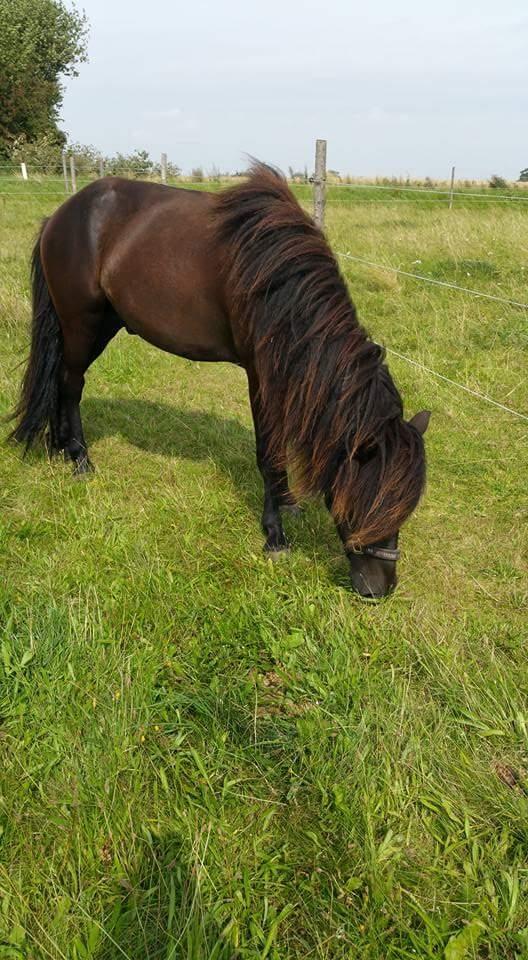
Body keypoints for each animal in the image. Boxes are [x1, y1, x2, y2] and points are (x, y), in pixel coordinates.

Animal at [8, 166, 428, 600]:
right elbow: (268, 450)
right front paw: (275, 535)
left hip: (104, 323)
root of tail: (59, 216)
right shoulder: (260, 374)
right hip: (81, 322)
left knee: (61, 380)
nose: (380, 589)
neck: (278, 280)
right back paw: (79, 460)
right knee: (70, 385)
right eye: (369, 498)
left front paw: (288, 501)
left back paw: (58, 447)